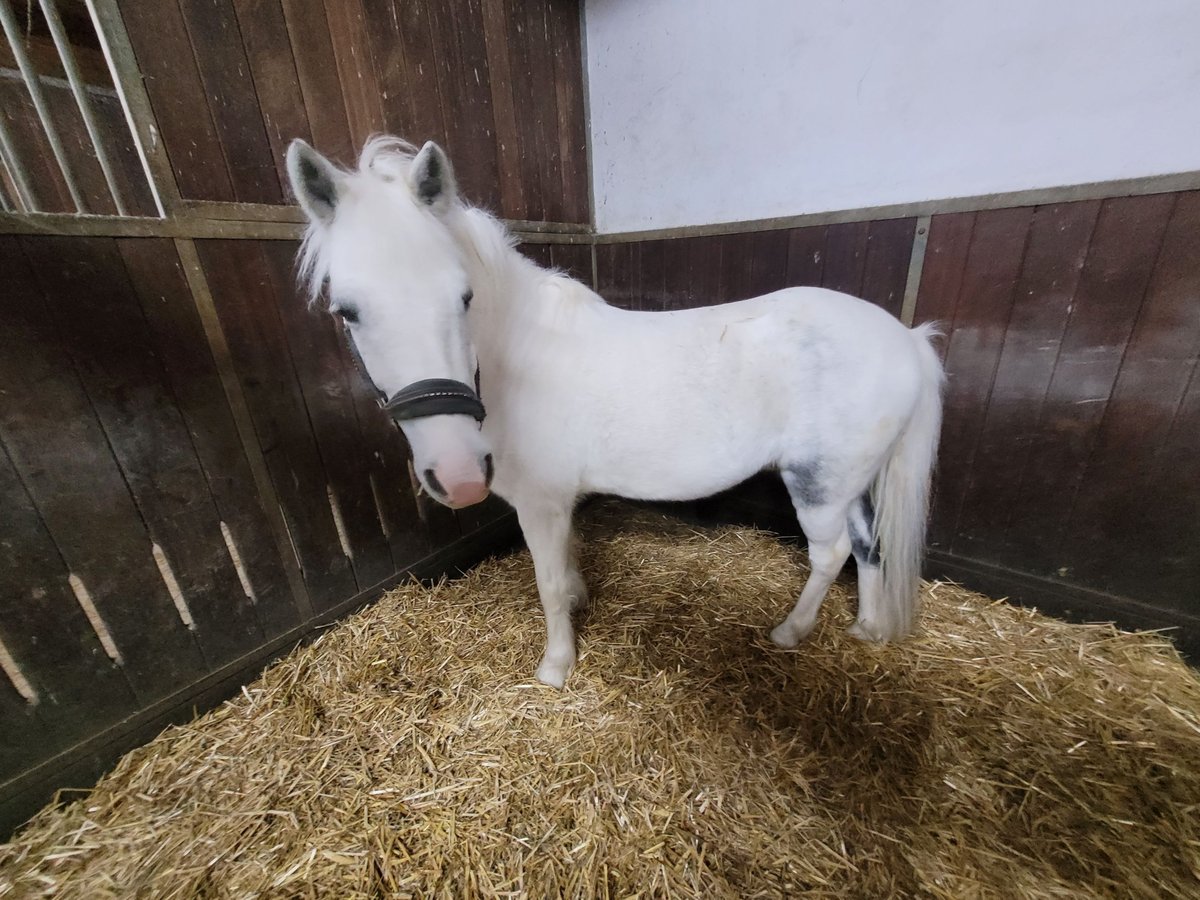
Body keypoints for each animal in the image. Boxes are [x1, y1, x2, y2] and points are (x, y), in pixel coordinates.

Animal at [285, 137, 940, 686]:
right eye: (347, 311)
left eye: (463, 297)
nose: (459, 474)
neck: (517, 359)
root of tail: (906, 339)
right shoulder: (559, 501)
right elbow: (569, 563)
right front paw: (579, 604)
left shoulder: (541, 502)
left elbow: (548, 582)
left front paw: (556, 667)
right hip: (847, 481)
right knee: (869, 546)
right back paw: (868, 628)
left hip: (818, 485)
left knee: (831, 553)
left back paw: (790, 631)